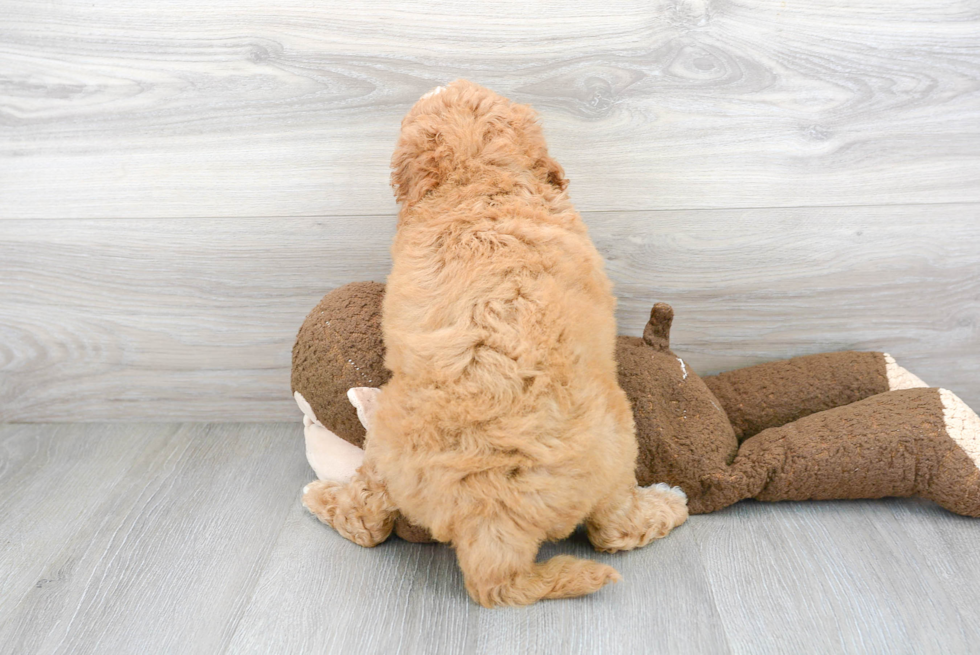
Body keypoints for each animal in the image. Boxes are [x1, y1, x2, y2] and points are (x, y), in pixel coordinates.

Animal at [302, 82, 684, 608]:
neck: (480, 173)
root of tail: (491, 521)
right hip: (620, 445)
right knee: (613, 529)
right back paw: (671, 503)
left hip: (384, 452)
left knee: (369, 522)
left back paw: (322, 494)